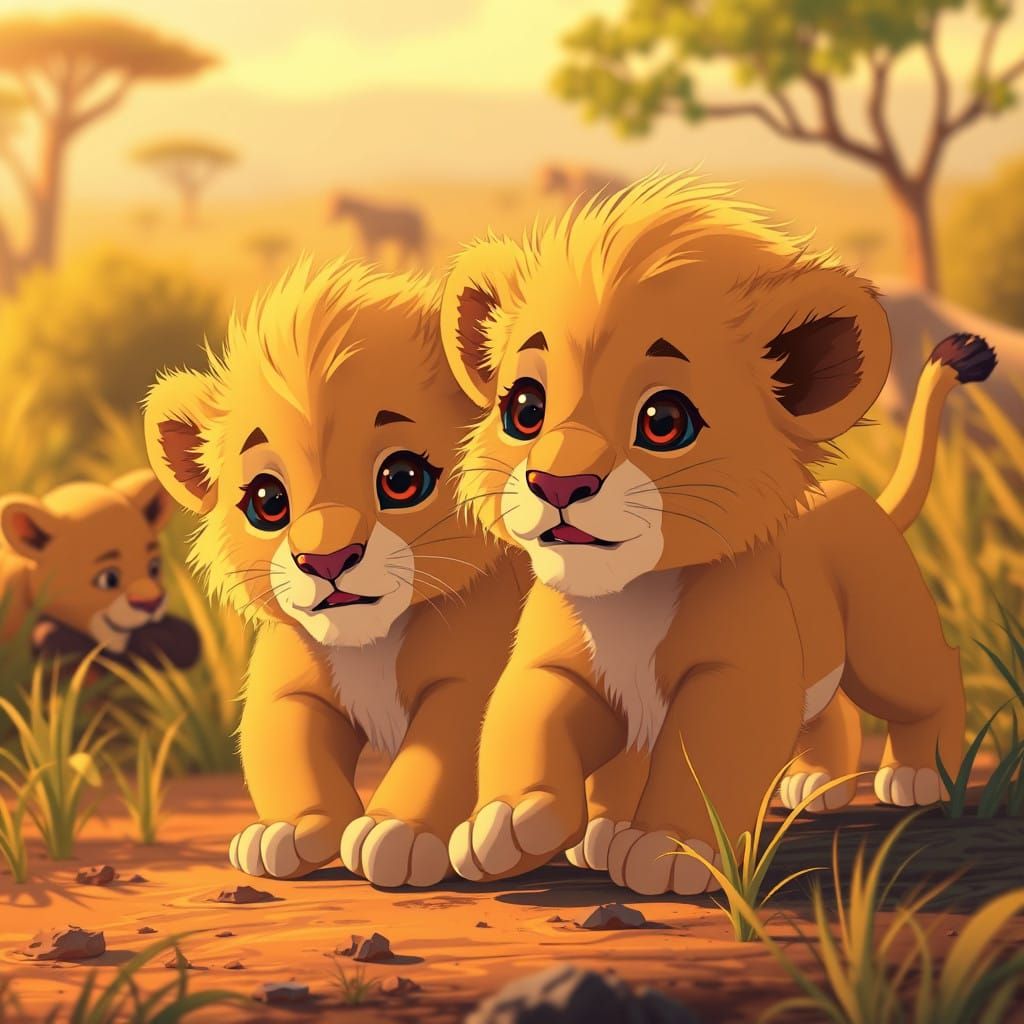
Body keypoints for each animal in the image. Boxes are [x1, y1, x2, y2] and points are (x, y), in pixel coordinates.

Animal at [143, 257, 524, 887]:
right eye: (268, 501)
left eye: (402, 478)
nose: (325, 560)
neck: (371, 643)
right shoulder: (291, 675)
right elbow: (284, 747)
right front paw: (289, 831)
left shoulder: (475, 675)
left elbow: (447, 749)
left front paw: (396, 833)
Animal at [436, 173, 996, 896]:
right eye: (524, 407)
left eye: (664, 420)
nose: (558, 484)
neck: (628, 598)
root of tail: (859, 498)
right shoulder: (561, 665)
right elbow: (526, 717)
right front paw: (507, 823)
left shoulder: (736, 673)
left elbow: (702, 756)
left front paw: (669, 849)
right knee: (826, 711)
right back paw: (803, 786)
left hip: (884, 644)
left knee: (933, 677)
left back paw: (921, 775)